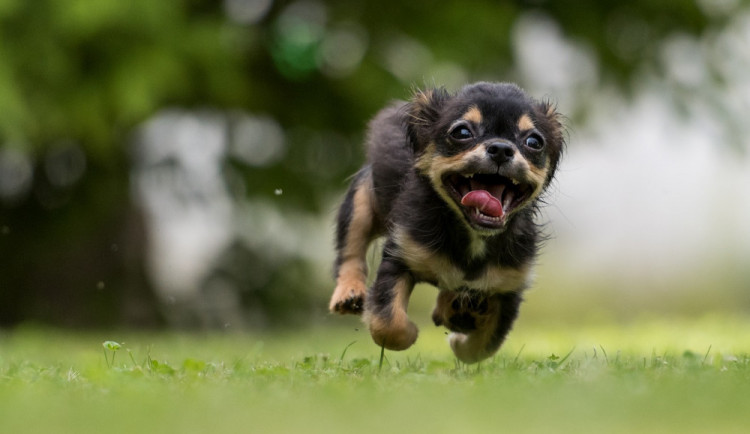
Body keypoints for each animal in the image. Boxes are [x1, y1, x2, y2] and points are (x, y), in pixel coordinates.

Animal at [328, 81, 564, 362]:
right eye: (462, 132)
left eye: (534, 142)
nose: (501, 149)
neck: (473, 235)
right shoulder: (399, 258)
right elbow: (388, 324)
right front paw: (411, 333)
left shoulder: (508, 287)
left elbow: (482, 347)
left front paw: (459, 339)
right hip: (361, 202)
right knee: (351, 250)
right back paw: (349, 293)